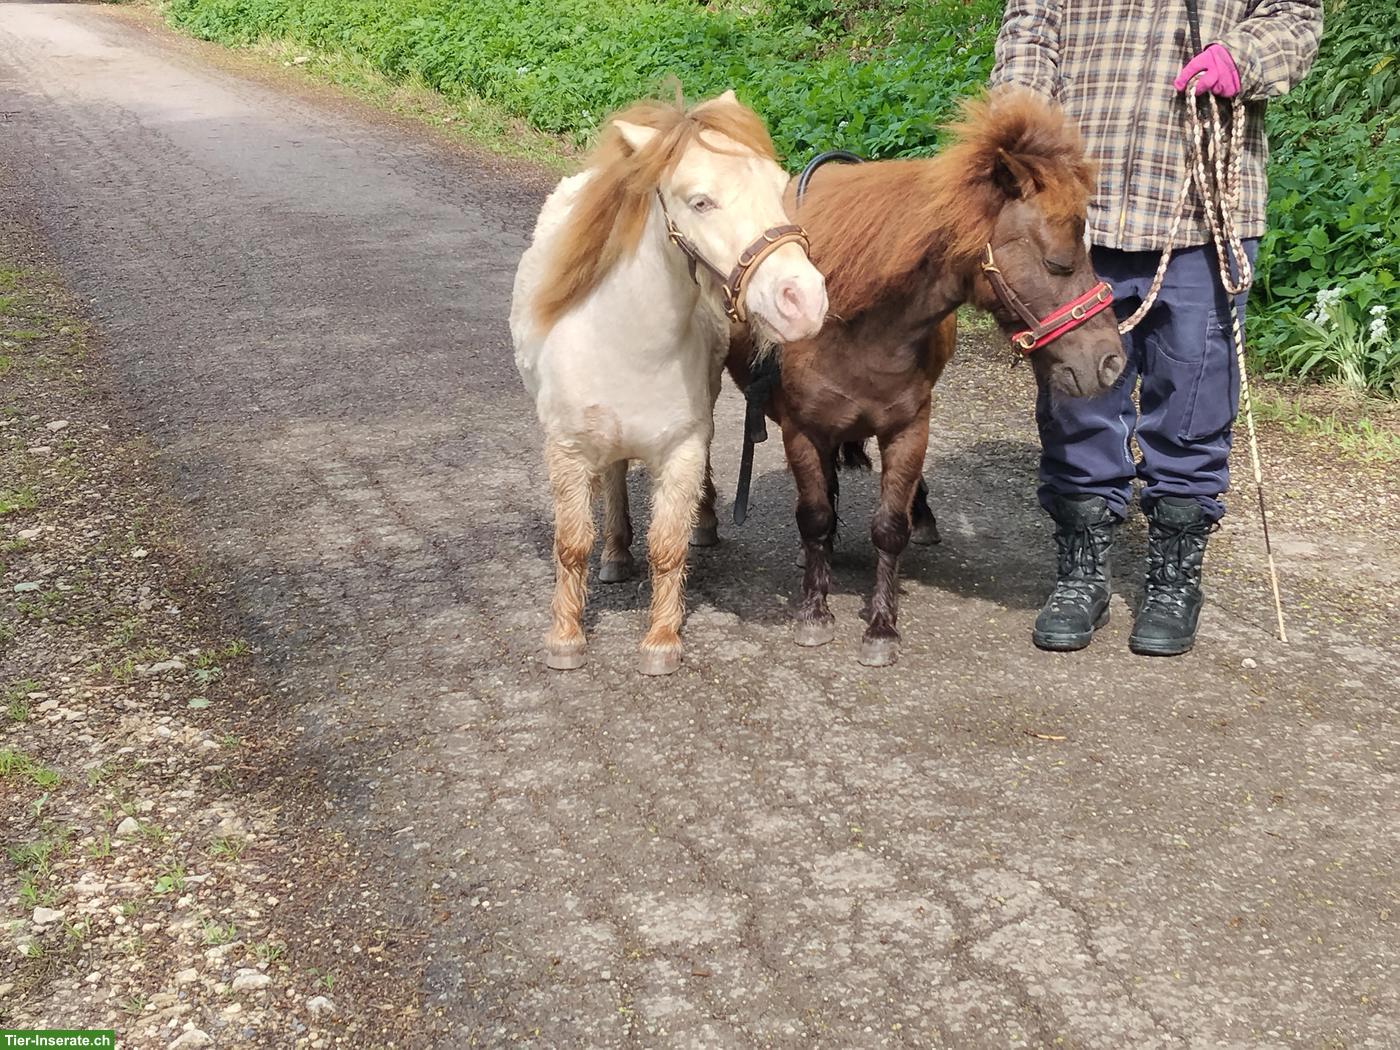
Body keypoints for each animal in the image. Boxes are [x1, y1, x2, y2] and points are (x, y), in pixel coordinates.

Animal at [511, 91, 828, 676]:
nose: (803, 299)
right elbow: (571, 544)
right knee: (614, 479)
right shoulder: (568, 449)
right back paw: (615, 553)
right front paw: (565, 636)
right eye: (700, 202)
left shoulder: (683, 446)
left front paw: (661, 640)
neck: (629, 342)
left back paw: (700, 526)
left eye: (779, 186)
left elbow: (668, 546)